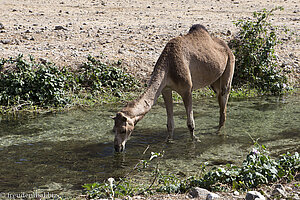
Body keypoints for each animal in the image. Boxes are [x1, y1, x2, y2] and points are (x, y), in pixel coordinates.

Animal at [112, 24, 234, 152]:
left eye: (123, 130)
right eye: (113, 130)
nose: (117, 147)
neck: (168, 66)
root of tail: (228, 48)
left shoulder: (187, 90)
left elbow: (190, 124)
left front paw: (194, 141)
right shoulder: (165, 89)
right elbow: (170, 124)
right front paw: (168, 142)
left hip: (229, 66)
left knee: (223, 102)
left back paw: (218, 133)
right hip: (214, 82)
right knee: (219, 99)